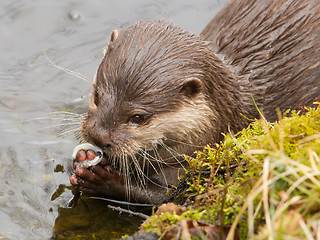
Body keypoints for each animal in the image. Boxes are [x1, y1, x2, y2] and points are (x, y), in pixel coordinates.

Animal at [69, 0, 318, 204]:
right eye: (97, 95)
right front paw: (83, 159)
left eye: (138, 118)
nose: (98, 136)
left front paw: (102, 179)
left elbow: (161, 197)